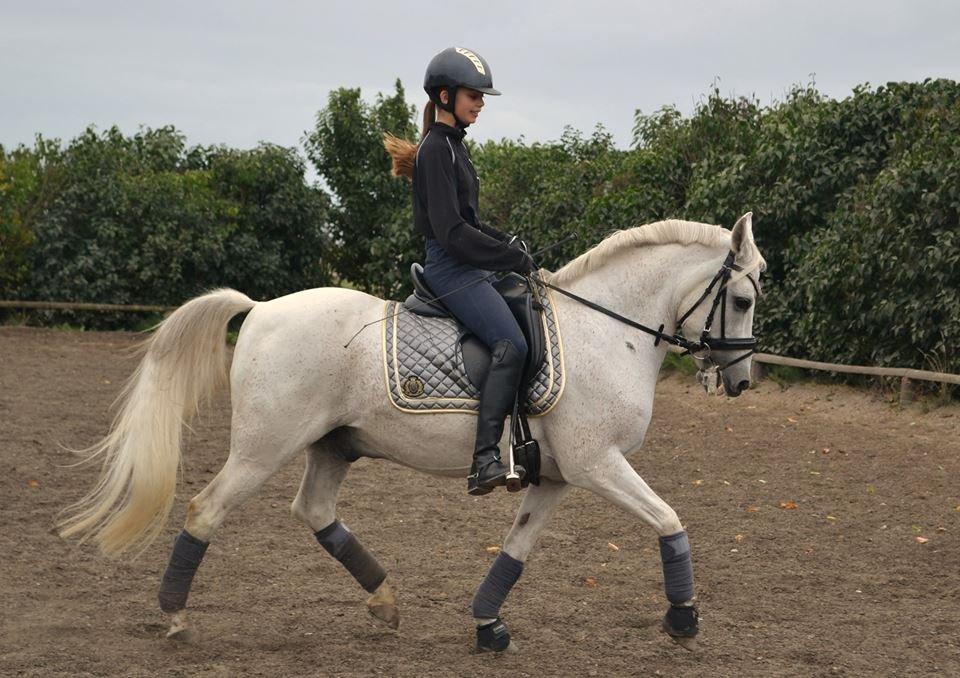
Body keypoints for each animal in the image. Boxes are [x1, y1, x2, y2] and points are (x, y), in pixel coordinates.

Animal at [60, 212, 764, 652]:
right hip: (263, 449)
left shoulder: (558, 476)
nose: (741, 381)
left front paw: (487, 624)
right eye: (743, 300)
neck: (607, 330)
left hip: (334, 446)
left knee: (314, 511)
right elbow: (669, 519)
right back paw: (177, 617)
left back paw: (386, 601)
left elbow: (517, 548)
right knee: (206, 510)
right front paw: (683, 618)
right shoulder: (599, 463)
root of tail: (259, 309)